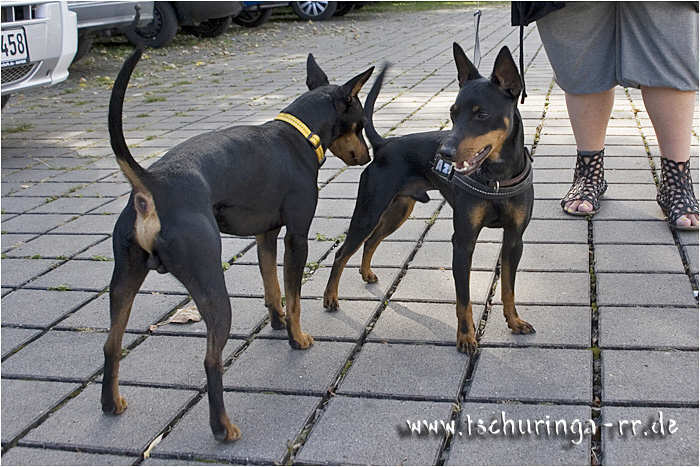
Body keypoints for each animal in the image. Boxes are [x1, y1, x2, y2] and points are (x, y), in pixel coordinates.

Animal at [103, 48, 373, 441]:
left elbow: (272, 287)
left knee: (111, 344)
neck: (298, 134)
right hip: (211, 286)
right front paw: (296, 337)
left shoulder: (266, 236)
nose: (367, 156)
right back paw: (223, 427)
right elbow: (294, 297)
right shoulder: (296, 237)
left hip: (124, 280)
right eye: (360, 124)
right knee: (211, 360)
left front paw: (277, 323)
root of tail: (152, 184)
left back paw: (112, 404)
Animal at [323, 43, 535, 354]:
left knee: (372, 241)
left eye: (482, 115)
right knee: (343, 252)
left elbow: (508, 287)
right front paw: (466, 337)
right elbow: (463, 299)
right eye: (453, 113)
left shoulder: (514, 240)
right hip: (369, 211)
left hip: (398, 211)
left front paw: (514, 321)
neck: (496, 178)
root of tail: (384, 145)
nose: (444, 153)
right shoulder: (463, 242)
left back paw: (366, 273)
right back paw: (330, 298)